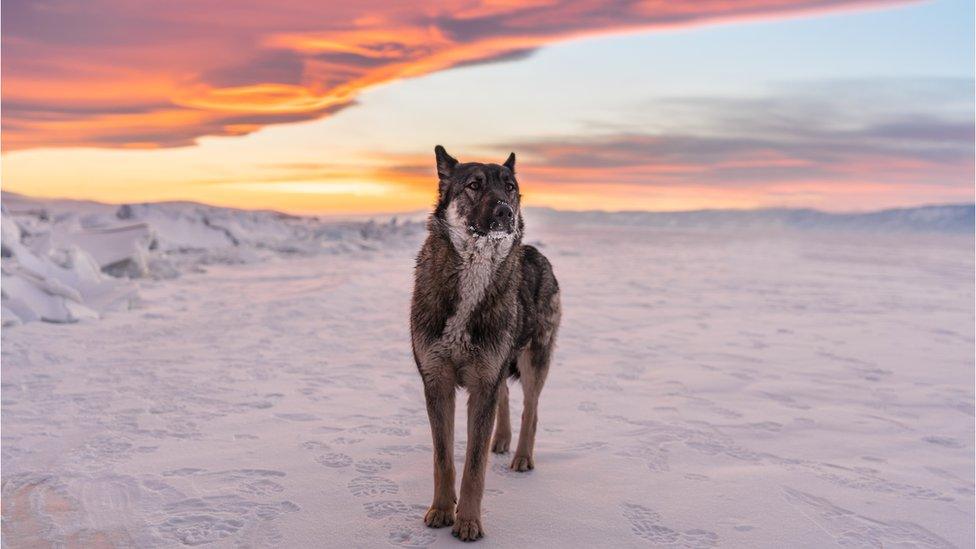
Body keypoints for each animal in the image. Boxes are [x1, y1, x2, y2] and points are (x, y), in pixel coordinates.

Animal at [408, 144, 560, 540]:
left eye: (510, 187)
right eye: (474, 185)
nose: (506, 212)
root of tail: (536, 252)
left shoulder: (482, 382)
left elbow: (474, 467)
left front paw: (468, 522)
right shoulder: (438, 382)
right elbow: (444, 457)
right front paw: (441, 510)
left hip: (534, 360)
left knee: (530, 410)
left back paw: (521, 456)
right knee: (506, 395)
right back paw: (501, 440)